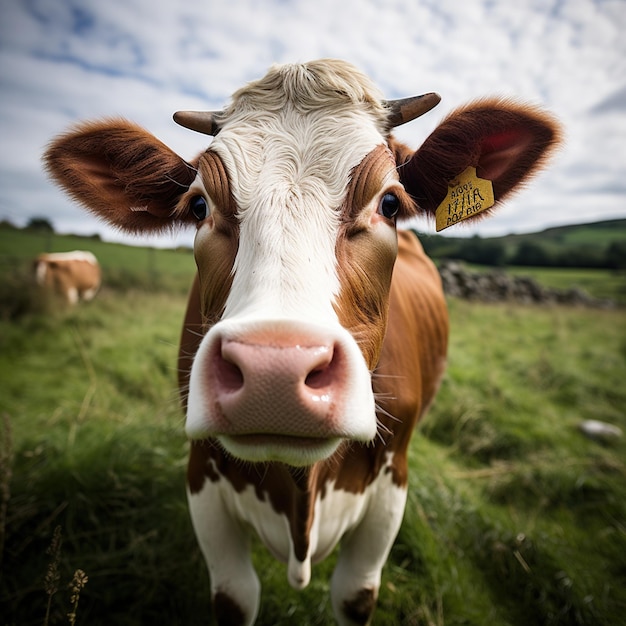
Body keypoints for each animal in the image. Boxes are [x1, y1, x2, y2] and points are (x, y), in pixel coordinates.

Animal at [45, 59, 560, 624]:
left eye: (390, 203)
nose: (274, 374)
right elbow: (235, 595)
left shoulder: (391, 487)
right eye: (199, 205)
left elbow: (355, 593)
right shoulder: (202, 477)